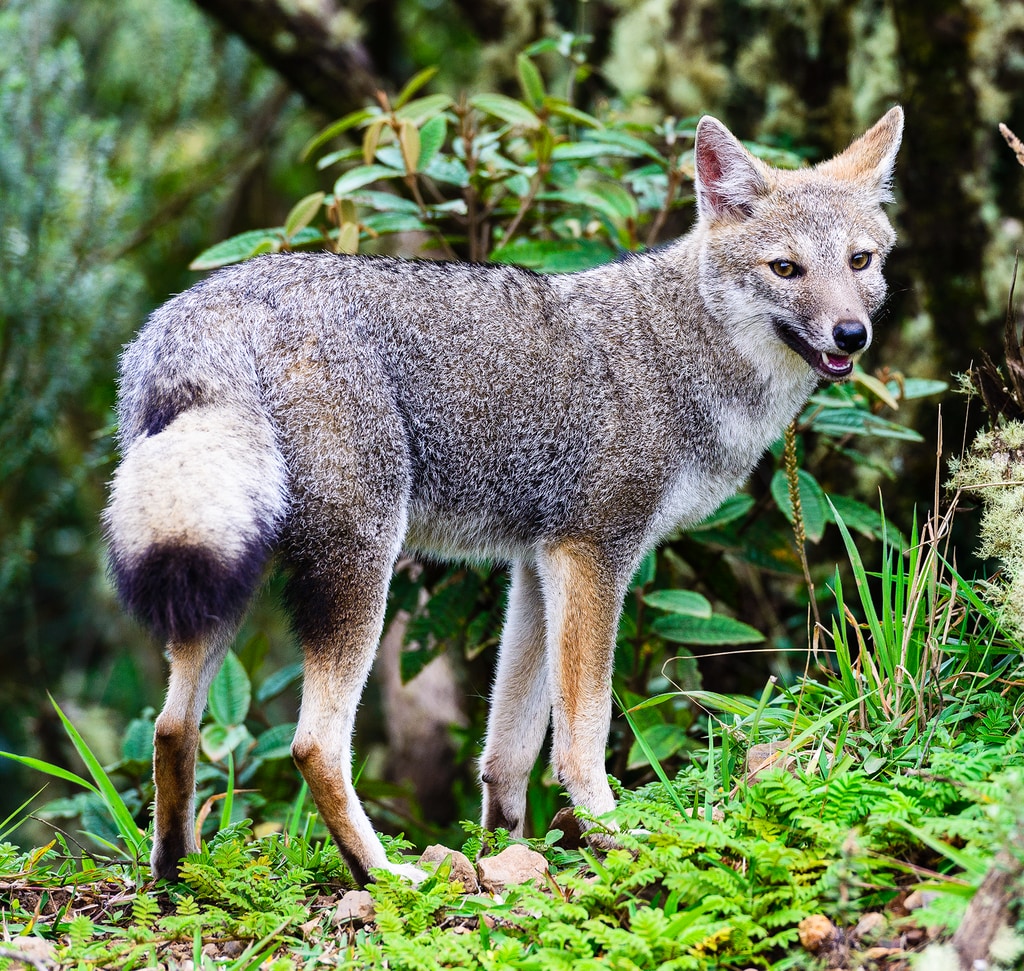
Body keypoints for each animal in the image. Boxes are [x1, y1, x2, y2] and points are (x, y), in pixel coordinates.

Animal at [103, 106, 905, 889]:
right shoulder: (593, 555)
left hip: (222, 585)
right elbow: (581, 733)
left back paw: (176, 872)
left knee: (173, 728)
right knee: (313, 745)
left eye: (859, 261)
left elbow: (508, 749)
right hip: (360, 570)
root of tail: (208, 306)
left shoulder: (534, 565)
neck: (683, 353)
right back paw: (381, 872)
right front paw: (614, 835)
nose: (852, 335)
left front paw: (507, 852)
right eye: (786, 268)